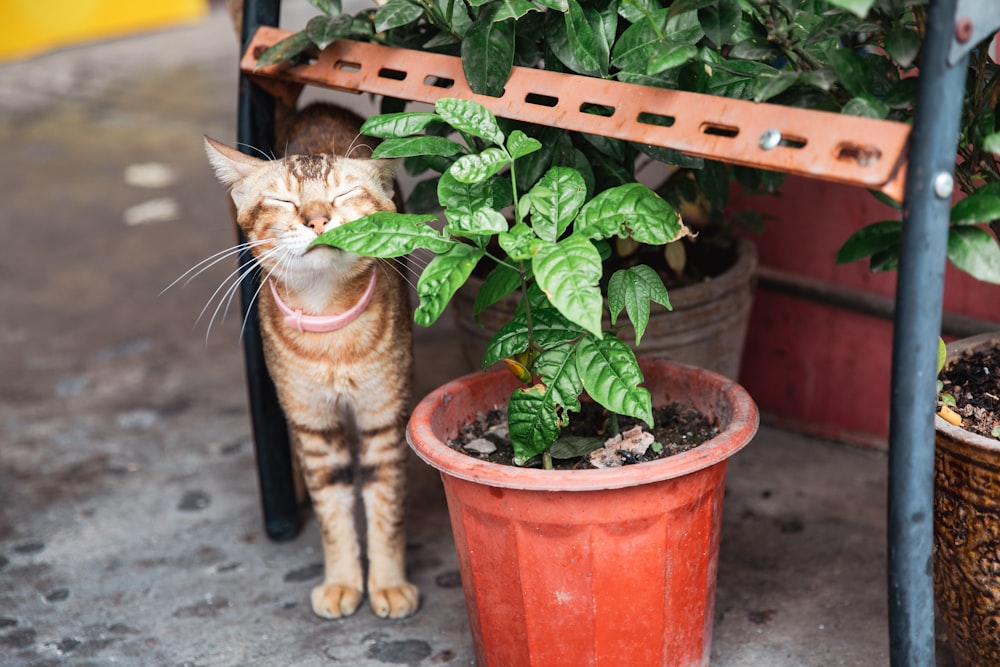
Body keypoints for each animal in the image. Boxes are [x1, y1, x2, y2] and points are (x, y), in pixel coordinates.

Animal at [203, 104, 418, 620]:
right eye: (283, 200)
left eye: (343, 194)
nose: (317, 218)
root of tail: (318, 107)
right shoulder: (314, 426)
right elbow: (333, 511)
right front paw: (342, 581)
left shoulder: (384, 417)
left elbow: (385, 504)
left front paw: (387, 583)